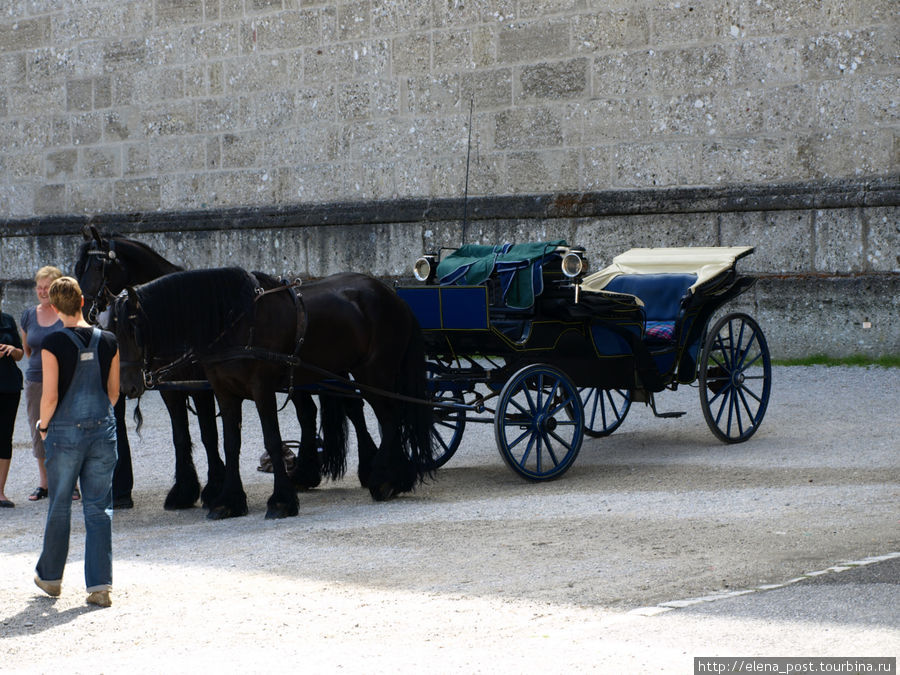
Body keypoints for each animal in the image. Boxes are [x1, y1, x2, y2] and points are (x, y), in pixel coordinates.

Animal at [110, 266, 434, 516]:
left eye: (133, 329)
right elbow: (230, 443)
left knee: (390, 419)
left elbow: (272, 438)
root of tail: (391, 294)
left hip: (375, 374)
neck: (233, 324)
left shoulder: (261, 390)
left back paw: (386, 479)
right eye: (111, 330)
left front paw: (281, 500)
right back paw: (393, 475)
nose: (127, 386)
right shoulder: (224, 392)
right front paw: (229, 500)